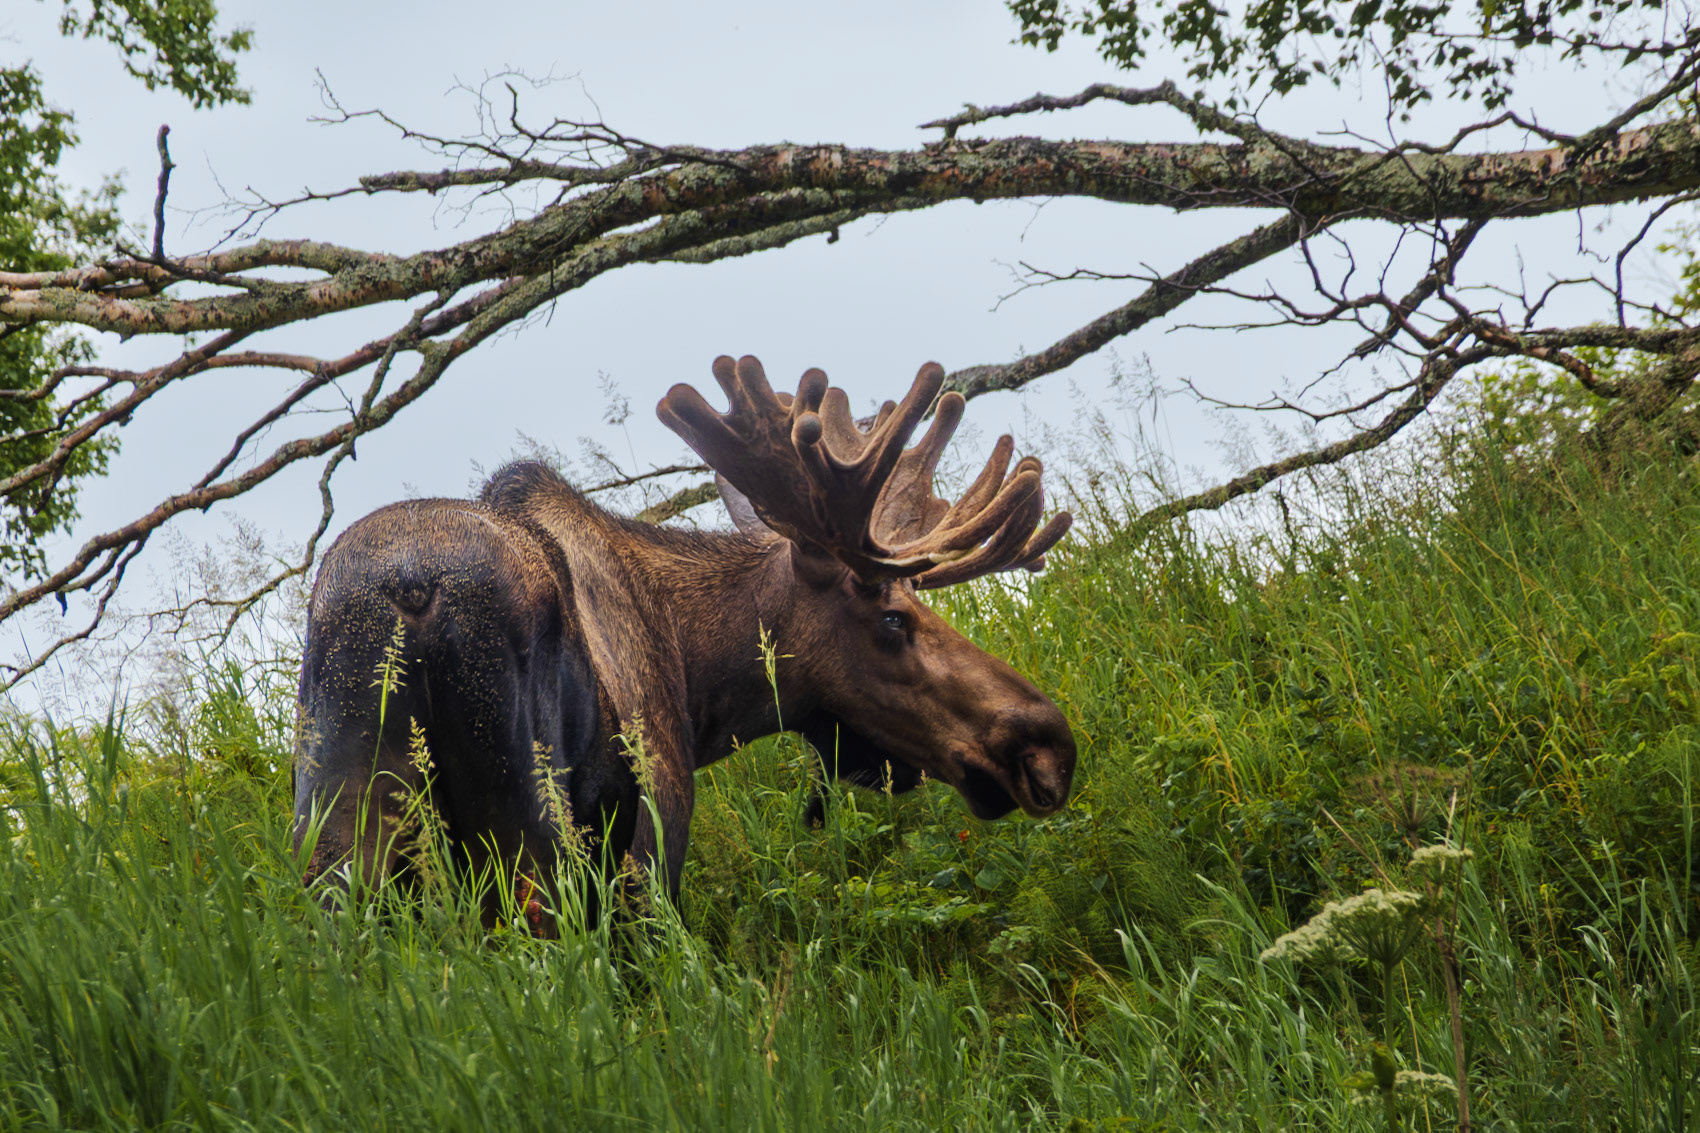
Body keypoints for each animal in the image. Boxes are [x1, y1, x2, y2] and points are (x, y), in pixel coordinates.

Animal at [293, 355, 1076, 921]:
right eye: (893, 619)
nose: (1048, 746)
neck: (701, 692)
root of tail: (412, 592)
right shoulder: (653, 837)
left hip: (339, 823)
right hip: (528, 823)